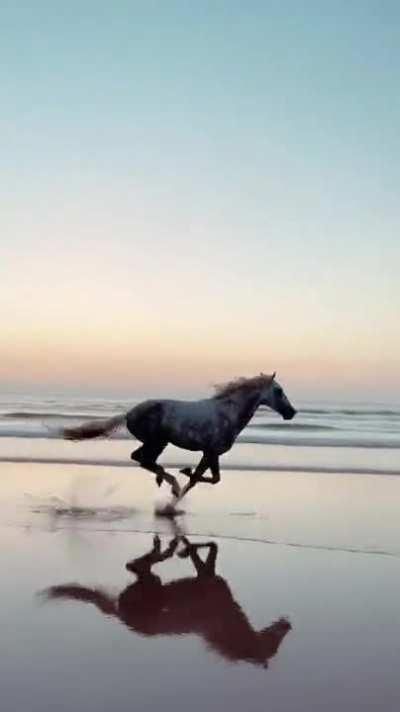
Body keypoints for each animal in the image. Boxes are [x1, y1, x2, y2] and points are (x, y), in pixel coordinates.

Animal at [41, 533, 292, 668]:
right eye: (272, 645)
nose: (288, 624)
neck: (223, 617)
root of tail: (120, 614)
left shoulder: (206, 574)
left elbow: (210, 547)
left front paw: (185, 547)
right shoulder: (206, 576)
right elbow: (209, 545)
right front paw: (184, 547)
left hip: (152, 582)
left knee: (136, 566)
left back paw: (163, 548)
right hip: (153, 584)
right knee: (135, 565)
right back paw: (165, 548)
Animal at [61, 372, 296, 501]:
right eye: (279, 391)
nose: (291, 412)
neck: (227, 413)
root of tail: (128, 413)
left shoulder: (211, 454)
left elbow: (209, 479)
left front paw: (179, 490)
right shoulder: (210, 452)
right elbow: (201, 479)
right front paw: (180, 482)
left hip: (158, 442)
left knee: (142, 459)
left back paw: (165, 480)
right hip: (157, 441)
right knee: (142, 458)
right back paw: (170, 482)